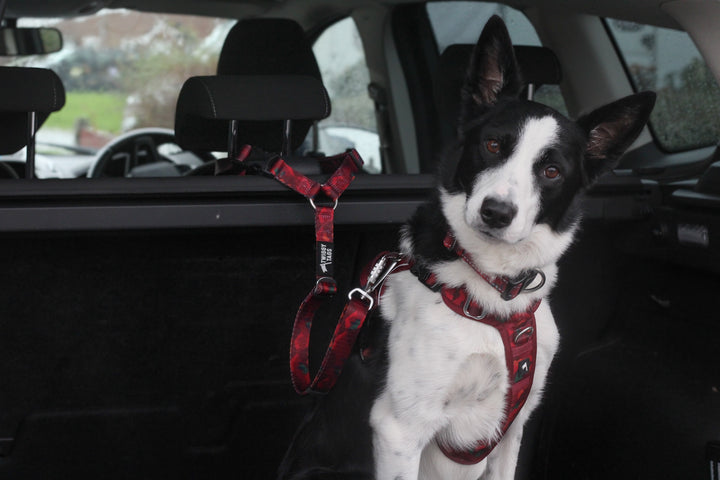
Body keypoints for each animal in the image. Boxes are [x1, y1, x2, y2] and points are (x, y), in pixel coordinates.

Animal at [278, 14, 656, 480]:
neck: (494, 293)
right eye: (493, 145)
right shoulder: (399, 430)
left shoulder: (514, 426)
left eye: (551, 171)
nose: (496, 212)